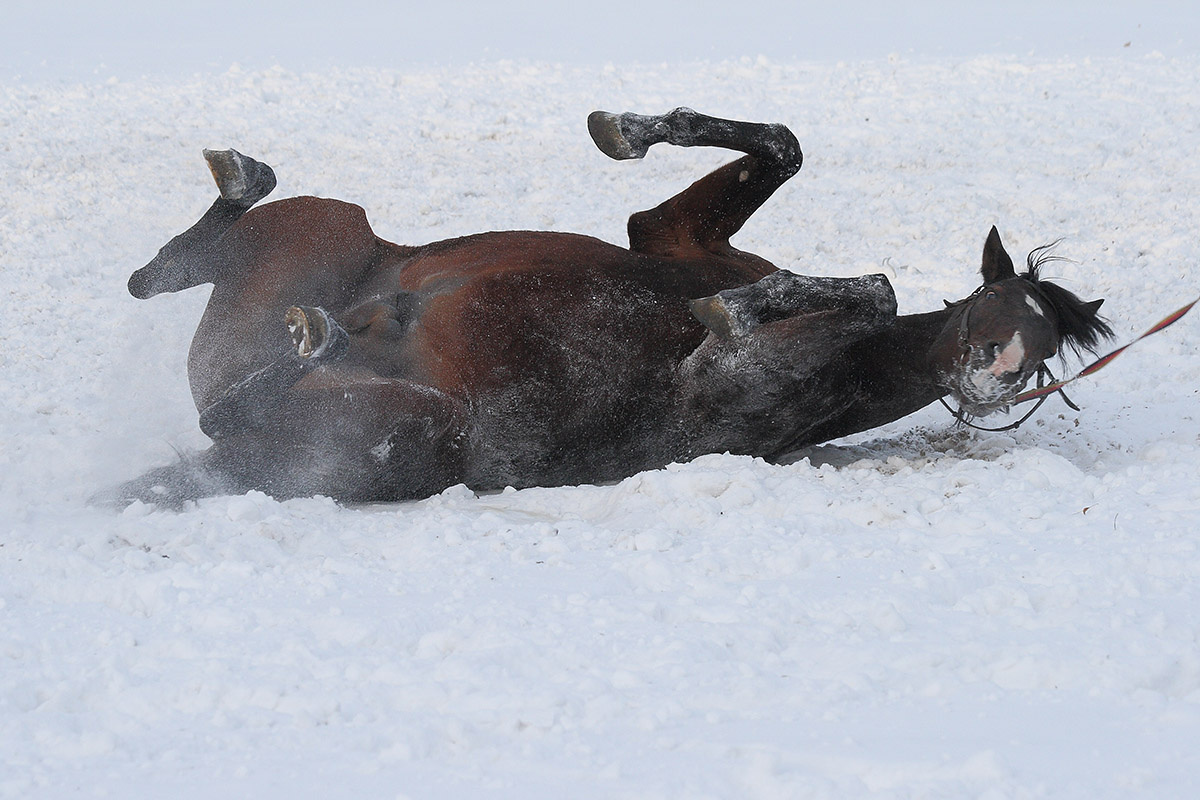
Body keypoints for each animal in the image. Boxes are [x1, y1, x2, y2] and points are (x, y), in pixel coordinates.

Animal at [108, 107, 1113, 508]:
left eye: (1048, 350)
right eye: (999, 296)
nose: (995, 372)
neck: (845, 376)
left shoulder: (725, 367)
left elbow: (869, 290)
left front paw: (745, 303)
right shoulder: (669, 237)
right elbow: (782, 150)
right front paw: (627, 130)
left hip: (399, 411)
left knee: (220, 379)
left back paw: (317, 327)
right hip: (326, 233)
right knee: (159, 278)